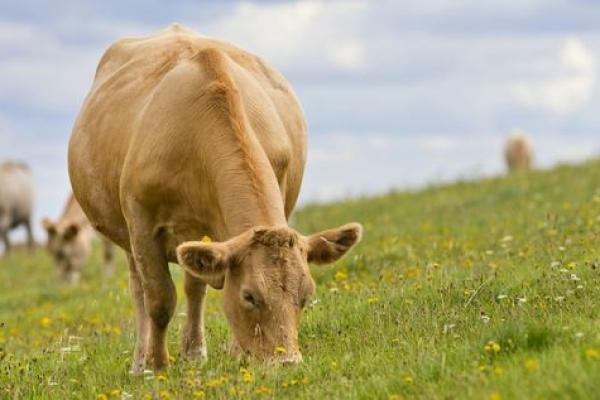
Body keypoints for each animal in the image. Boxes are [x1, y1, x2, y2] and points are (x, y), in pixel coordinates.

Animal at [68, 23, 364, 370]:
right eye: (249, 296)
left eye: (305, 295)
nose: (287, 362)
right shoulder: (141, 222)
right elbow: (159, 299)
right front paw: (157, 364)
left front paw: (234, 351)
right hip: (127, 234)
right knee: (138, 288)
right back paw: (140, 363)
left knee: (194, 287)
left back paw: (194, 352)